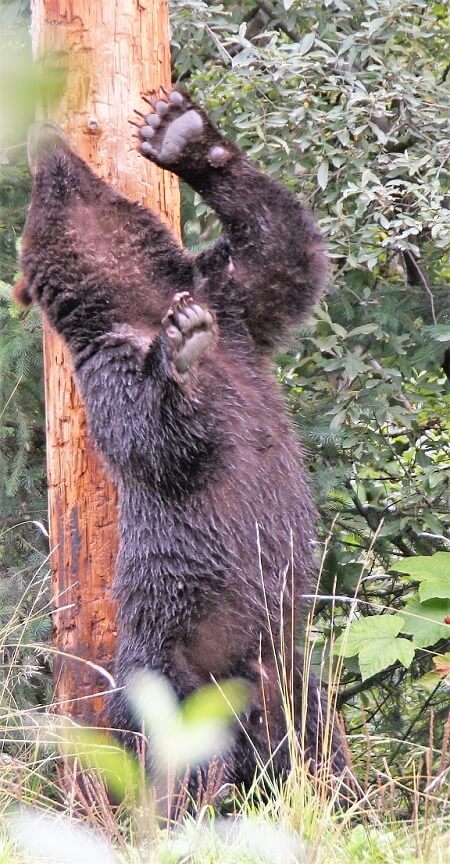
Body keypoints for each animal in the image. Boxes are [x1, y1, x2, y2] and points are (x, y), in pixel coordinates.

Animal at [17, 91, 346, 792]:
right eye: (35, 200)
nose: (38, 131)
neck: (141, 297)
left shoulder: (237, 309)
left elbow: (285, 253)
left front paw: (180, 134)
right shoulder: (105, 370)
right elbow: (154, 435)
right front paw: (182, 347)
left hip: (290, 680)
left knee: (317, 751)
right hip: (167, 670)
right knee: (168, 764)